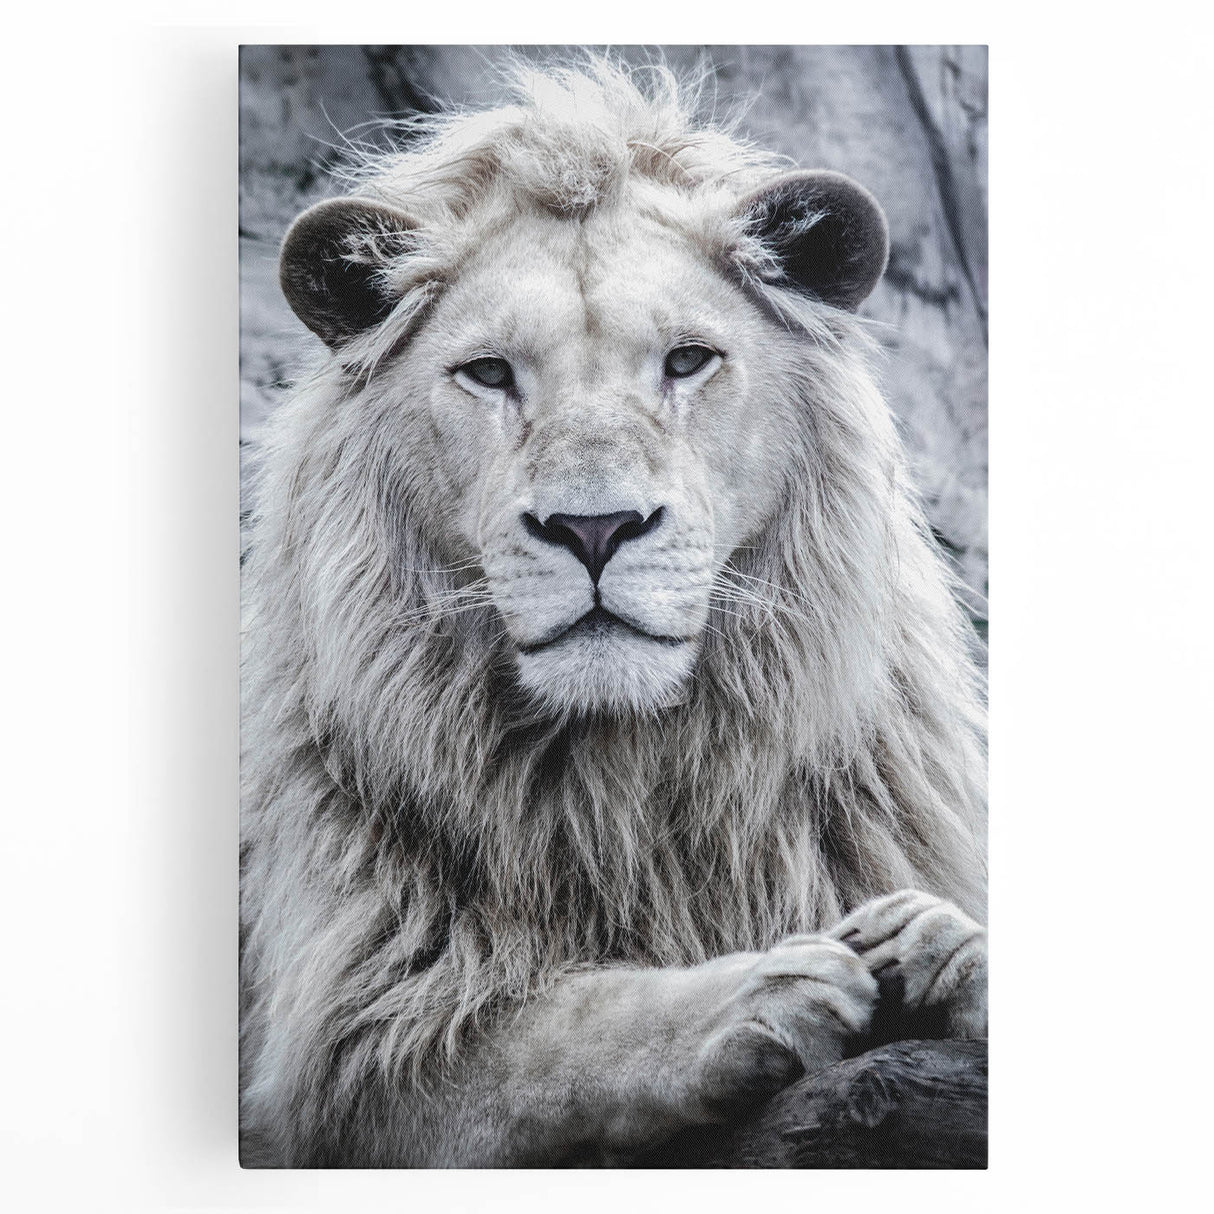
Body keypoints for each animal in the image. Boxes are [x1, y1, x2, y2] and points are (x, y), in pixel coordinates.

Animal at [240, 58, 988, 1168]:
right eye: (488, 372)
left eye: (686, 361)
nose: (594, 529)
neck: (628, 778)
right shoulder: (359, 1048)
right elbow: (558, 1032)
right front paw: (761, 989)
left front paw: (943, 945)